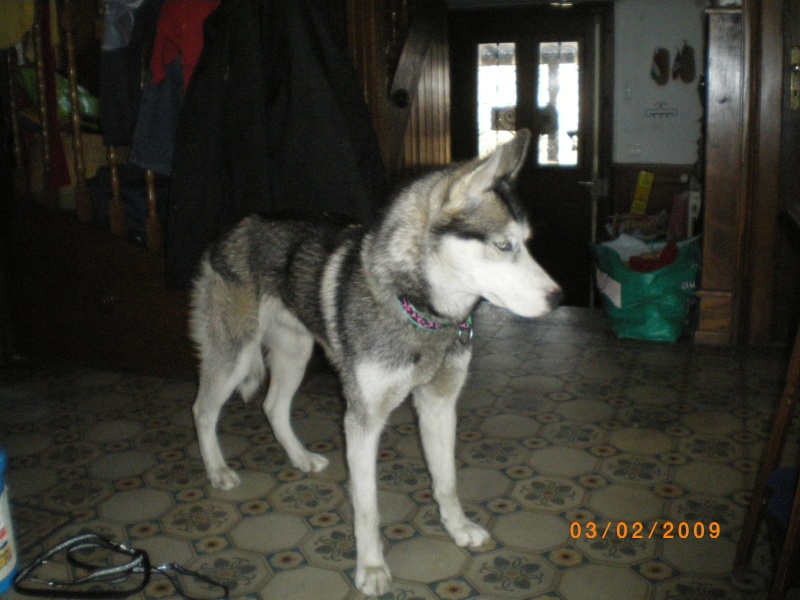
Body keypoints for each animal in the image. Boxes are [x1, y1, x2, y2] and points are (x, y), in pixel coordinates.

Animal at [190, 127, 560, 596]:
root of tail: (232, 228)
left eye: (526, 245)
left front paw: (457, 528)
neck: (418, 311)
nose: (559, 299)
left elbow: (446, 481)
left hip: (295, 353)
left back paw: (301, 458)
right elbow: (367, 506)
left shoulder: (439, 406)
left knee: (273, 407)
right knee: (202, 409)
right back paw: (218, 470)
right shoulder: (362, 420)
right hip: (235, 356)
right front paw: (370, 567)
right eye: (502, 245)